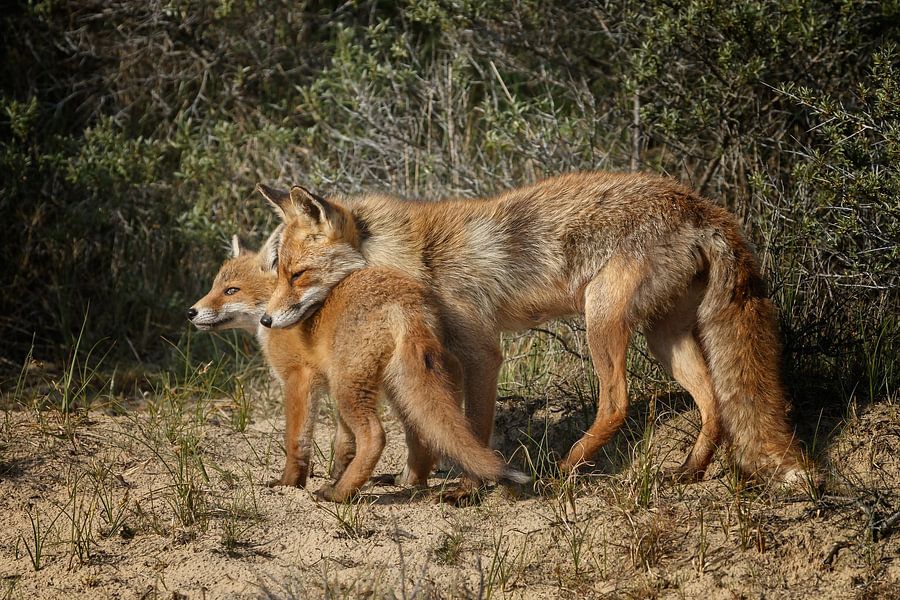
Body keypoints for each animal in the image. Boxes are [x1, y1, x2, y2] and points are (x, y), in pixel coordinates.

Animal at [190, 236, 528, 501]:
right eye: (214, 287)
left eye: (231, 291)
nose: (190, 312)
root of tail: (406, 302)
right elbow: (343, 443)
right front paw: (338, 473)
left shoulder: (299, 379)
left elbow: (296, 441)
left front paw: (289, 484)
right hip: (394, 384)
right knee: (421, 434)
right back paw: (405, 483)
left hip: (350, 387)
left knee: (376, 436)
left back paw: (340, 495)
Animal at [258, 171, 814, 489]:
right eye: (276, 270)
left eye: (297, 275)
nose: (265, 318)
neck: (420, 260)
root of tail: (704, 207)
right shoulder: (441, 353)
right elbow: (428, 428)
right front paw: (416, 479)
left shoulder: (482, 351)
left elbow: (474, 427)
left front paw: (471, 488)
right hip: (663, 338)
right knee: (715, 404)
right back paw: (689, 471)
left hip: (600, 319)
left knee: (617, 403)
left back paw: (569, 468)